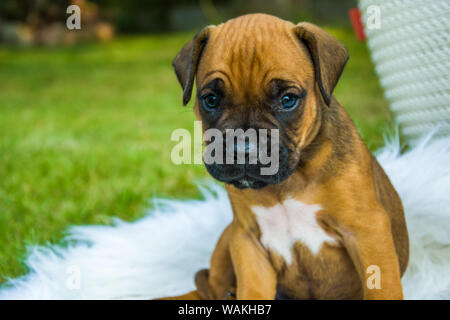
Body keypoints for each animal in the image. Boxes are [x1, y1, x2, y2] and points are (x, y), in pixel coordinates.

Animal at [167, 13, 410, 300]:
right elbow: (252, 291)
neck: (289, 181)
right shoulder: (247, 239)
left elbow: (383, 289)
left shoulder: (367, 231)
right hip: (228, 236)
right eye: (211, 100)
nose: (244, 149)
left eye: (288, 99)